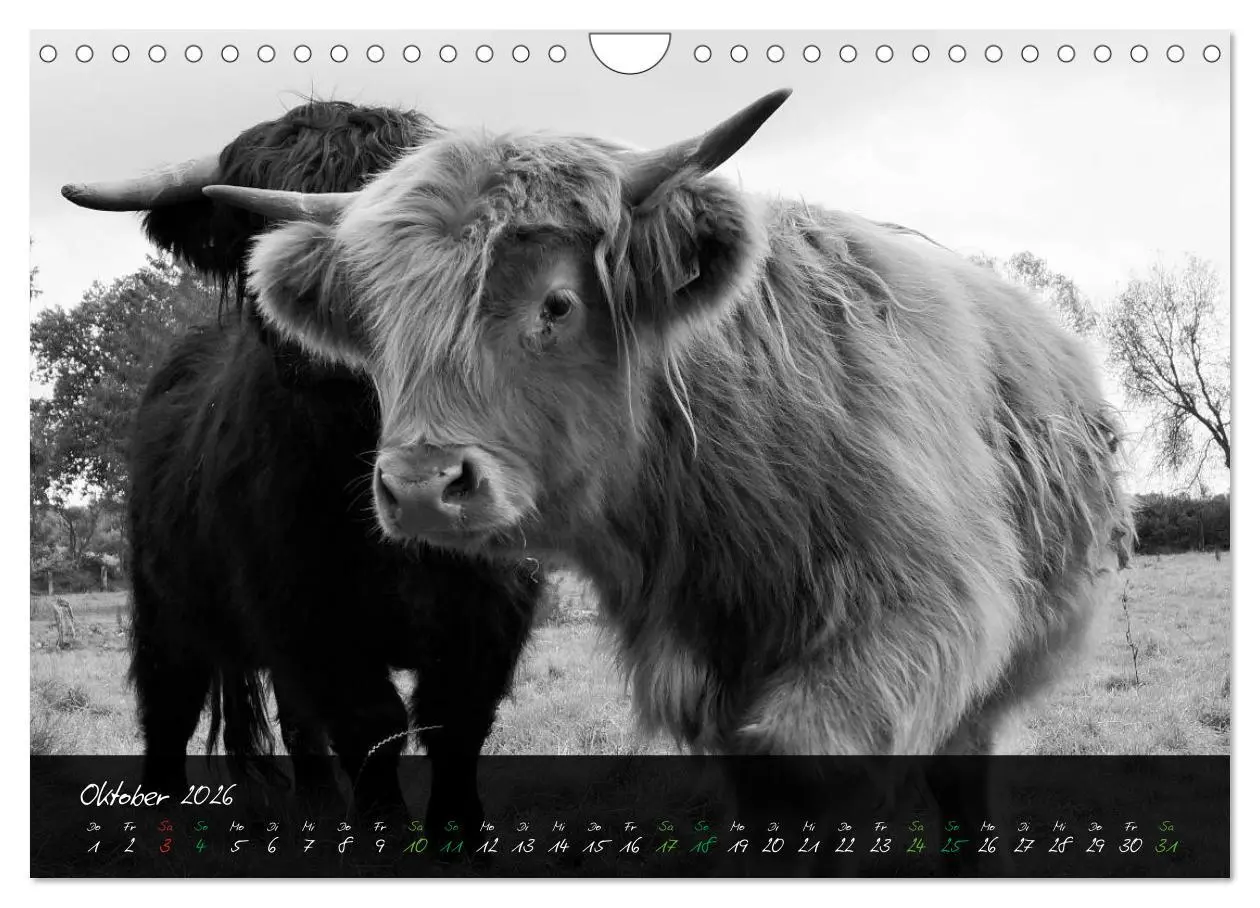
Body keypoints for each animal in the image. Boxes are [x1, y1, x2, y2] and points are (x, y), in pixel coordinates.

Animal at [60, 100, 541, 830]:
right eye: (253, 232)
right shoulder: (309, 613)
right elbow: (371, 725)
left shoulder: (489, 613)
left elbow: (454, 725)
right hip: (164, 604)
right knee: (168, 707)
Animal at [204, 88, 1132, 820]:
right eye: (379, 326)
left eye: (557, 303)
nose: (424, 487)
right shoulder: (699, 668)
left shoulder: (923, 613)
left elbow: (807, 763)